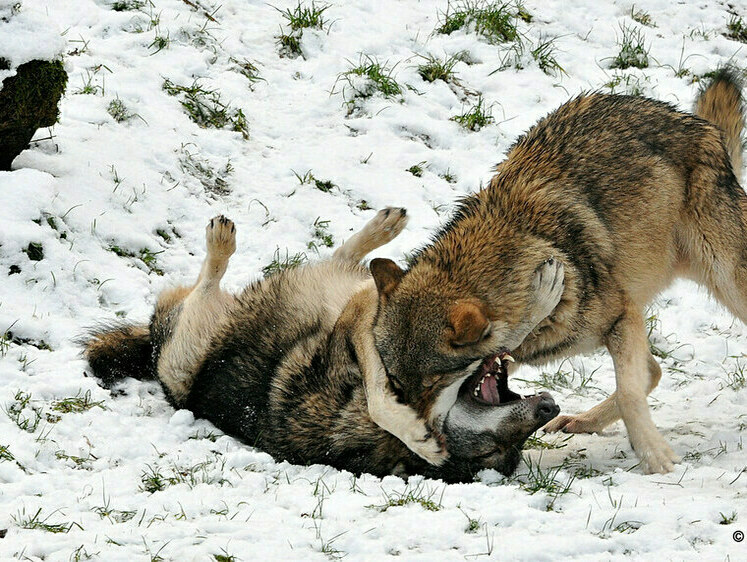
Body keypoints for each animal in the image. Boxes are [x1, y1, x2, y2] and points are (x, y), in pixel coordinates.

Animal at [84, 208, 560, 480]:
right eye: (492, 449)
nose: (550, 409)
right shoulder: (362, 323)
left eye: (505, 451)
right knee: (212, 279)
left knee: (333, 260)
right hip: (188, 351)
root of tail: (151, 344)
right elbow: (384, 399)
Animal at [366, 69, 744, 472]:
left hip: (727, 281)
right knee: (654, 371)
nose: (426, 437)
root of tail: (695, 123)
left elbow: (630, 393)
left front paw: (657, 459)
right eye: (397, 385)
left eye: (433, 383)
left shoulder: (621, 317)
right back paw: (583, 421)